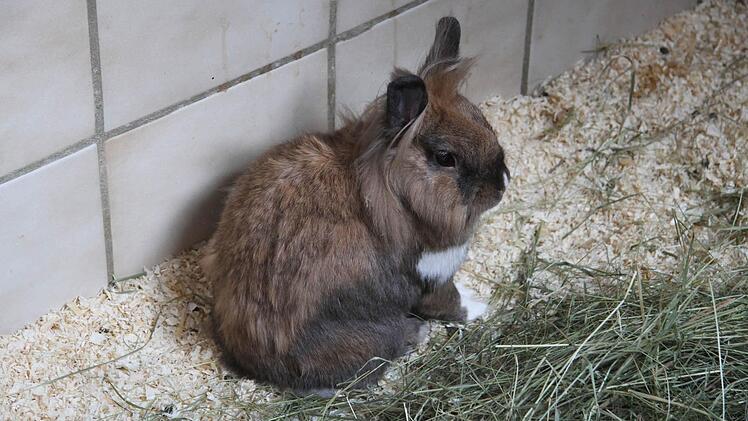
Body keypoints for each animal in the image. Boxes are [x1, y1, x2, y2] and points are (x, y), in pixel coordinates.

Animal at [200, 16, 511, 393]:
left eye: (484, 122)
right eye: (445, 158)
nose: (502, 184)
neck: (399, 197)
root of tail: (265, 368)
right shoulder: (431, 276)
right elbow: (451, 303)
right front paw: (482, 305)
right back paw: (416, 333)